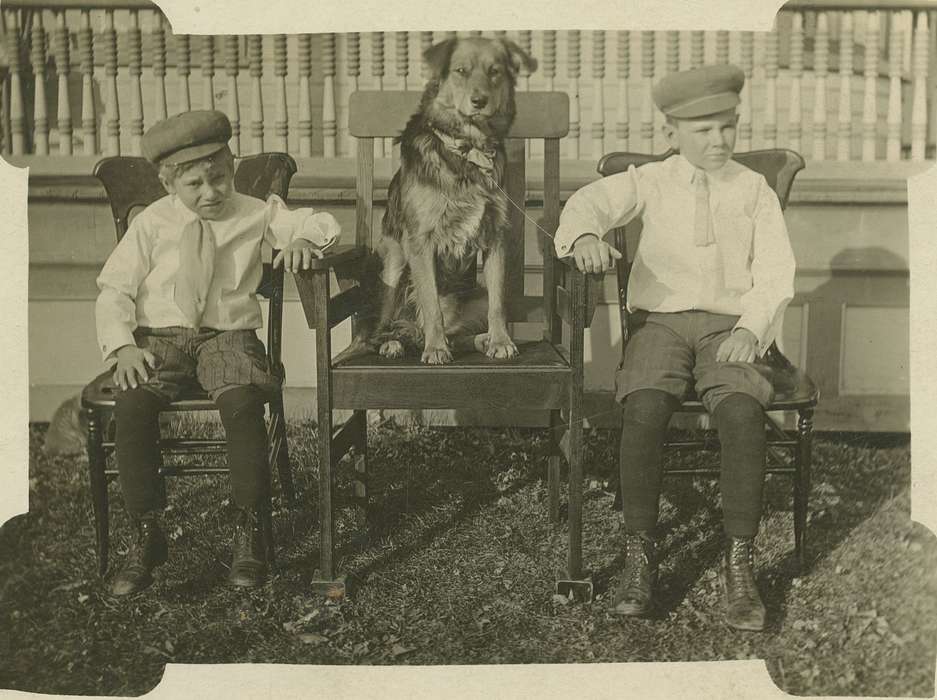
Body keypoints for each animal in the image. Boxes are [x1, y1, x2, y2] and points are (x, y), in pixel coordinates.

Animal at [370, 37, 536, 366]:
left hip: (474, 295)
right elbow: (431, 304)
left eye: (494, 72)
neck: (467, 150)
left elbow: (498, 304)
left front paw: (501, 341)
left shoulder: (495, 236)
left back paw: (481, 340)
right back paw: (395, 342)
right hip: (394, 266)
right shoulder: (420, 242)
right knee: (385, 325)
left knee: (462, 332)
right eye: (461, 71)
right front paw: (435, 349)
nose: (479, 101)